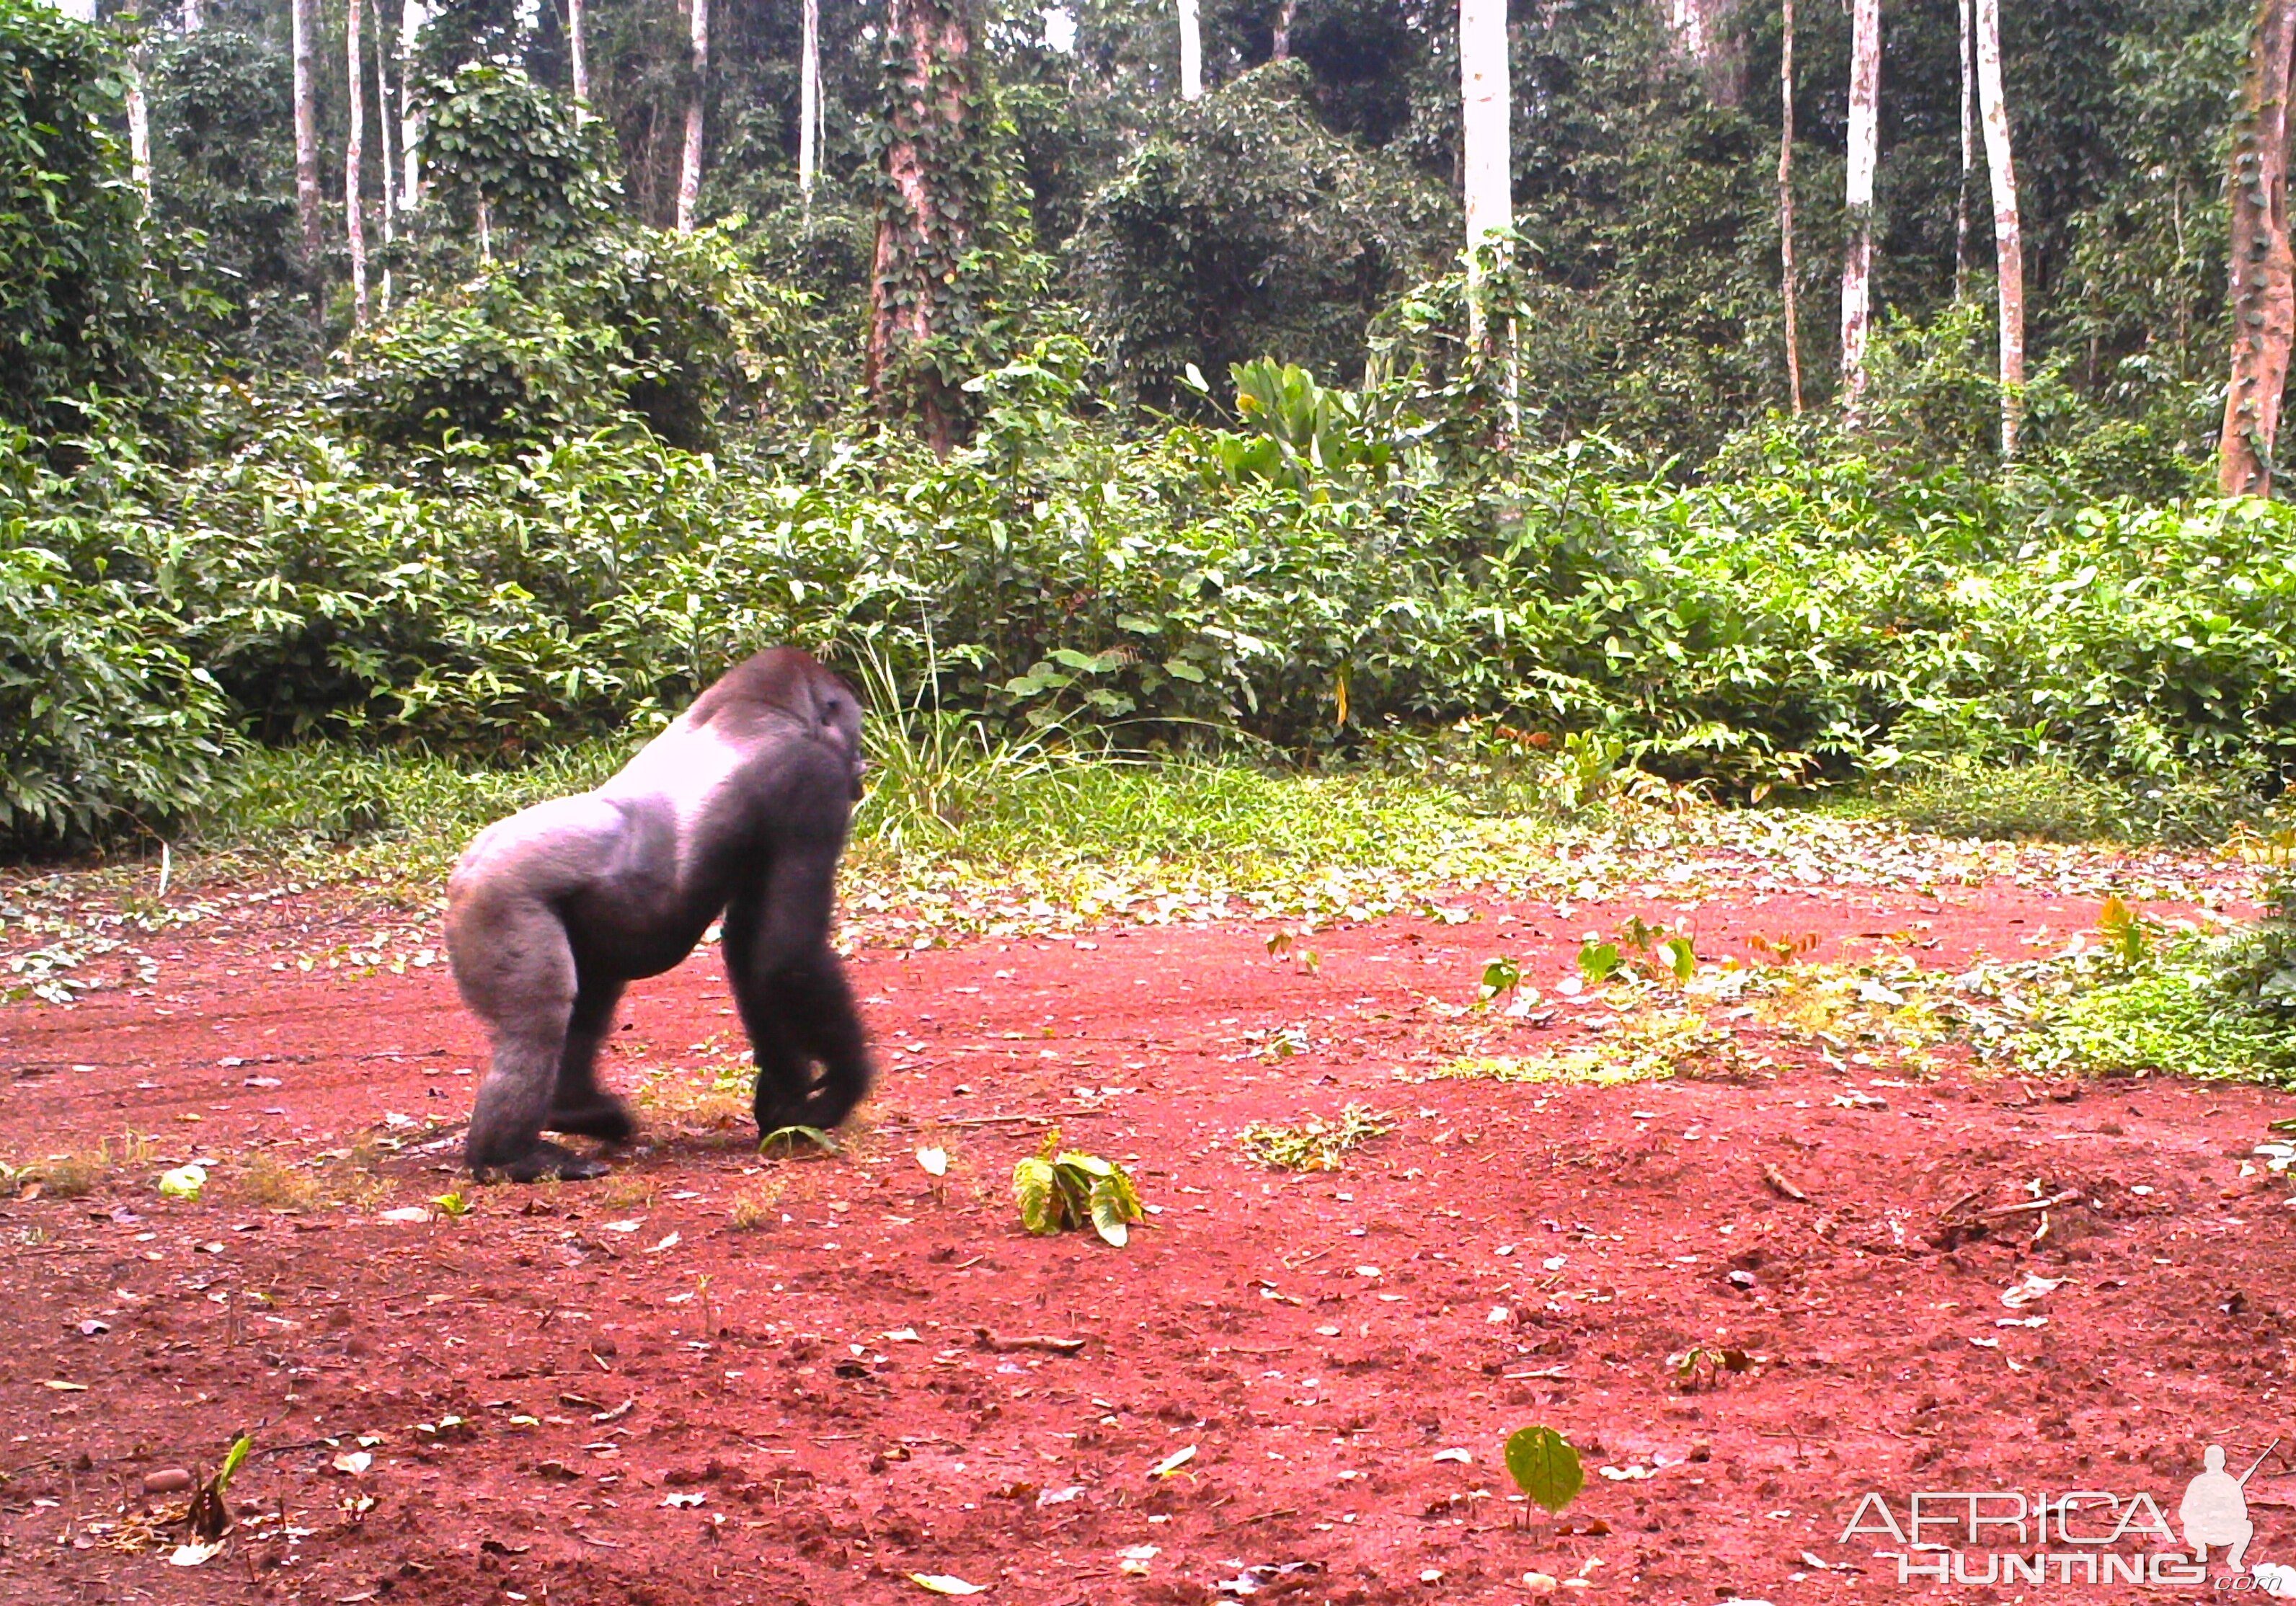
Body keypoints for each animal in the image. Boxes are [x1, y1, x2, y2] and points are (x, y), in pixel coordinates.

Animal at [445, 647, 867, 1184]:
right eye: (854, 733)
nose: (862, 768)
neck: (759, 711)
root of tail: (464, 872)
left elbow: (752, 950)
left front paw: (783, 1098)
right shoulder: (812, 780)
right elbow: (787, 954)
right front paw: (844, 1084)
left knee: (589, 994)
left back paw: (577, 1109)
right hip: (498, 902)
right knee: (536, 1021)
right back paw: (512, 1156)